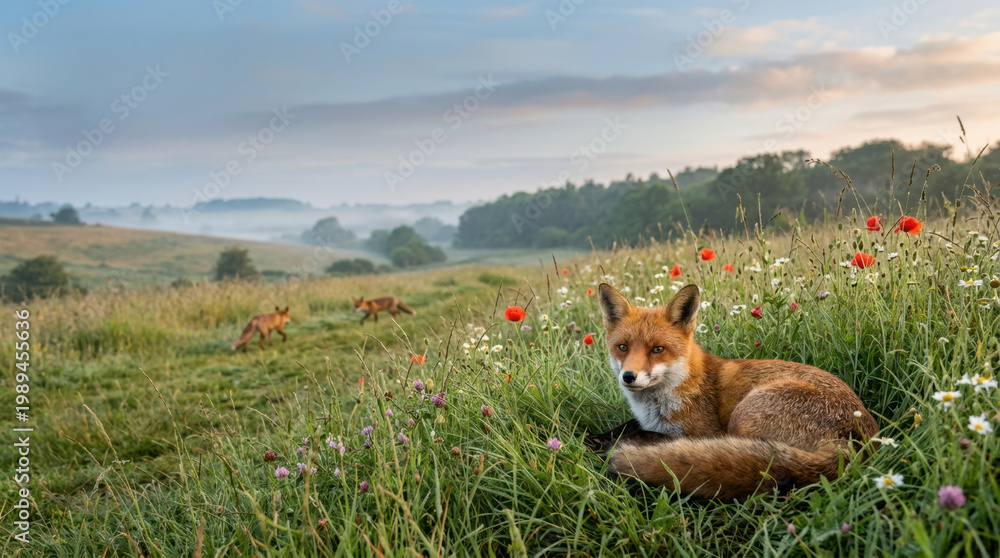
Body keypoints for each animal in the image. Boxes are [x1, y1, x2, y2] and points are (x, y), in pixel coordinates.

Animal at [593, 283, 878, 500]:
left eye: (657, 349)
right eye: (622, 347)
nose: (628, 377)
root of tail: (854, 444)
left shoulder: (705, 431)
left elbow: (642, 432)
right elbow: (625, 426)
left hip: (742, 416)